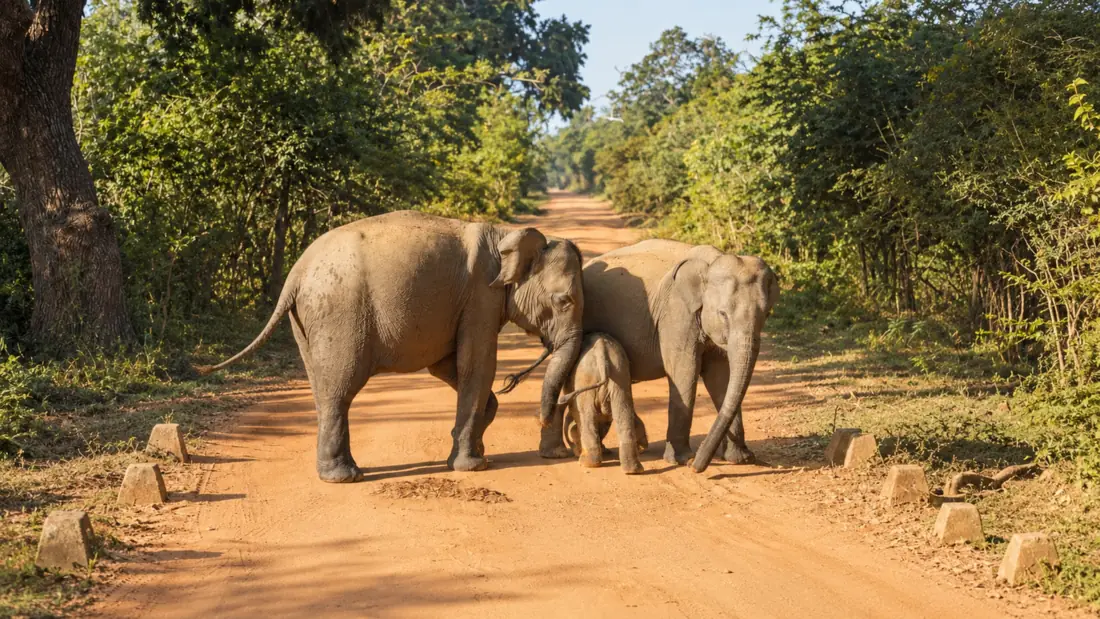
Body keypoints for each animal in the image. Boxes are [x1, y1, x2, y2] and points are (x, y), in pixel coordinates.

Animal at [200, 210, 585, 482]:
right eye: (564, 300)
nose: (557, 451)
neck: (506, 234)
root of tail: (295, 274)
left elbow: (446, 366)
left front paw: (473, 447)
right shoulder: (480, 298)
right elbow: (475, 364)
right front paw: (473, 466)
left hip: (306, 323)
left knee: (323, 389)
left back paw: (340, 472)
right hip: (339, 314)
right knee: (340, 387)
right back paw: (344, 478)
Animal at [555, 333, 649, 474]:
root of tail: (602, 350)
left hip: (585, 377)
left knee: (586, 415)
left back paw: (586, 463)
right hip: (619, 372)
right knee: (622, 410)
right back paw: (633, 469)